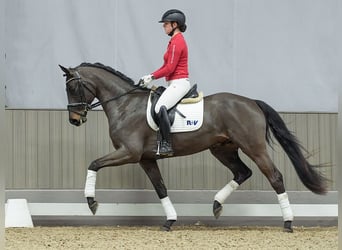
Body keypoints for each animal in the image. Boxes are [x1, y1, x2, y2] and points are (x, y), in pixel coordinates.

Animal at [58, 62, 326, 232]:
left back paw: (288, 223)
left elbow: (94, 163)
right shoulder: (146, 158)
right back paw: (216, 205)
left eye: (72, 87)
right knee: (243, 172)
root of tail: (252, 102)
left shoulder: (129, 153)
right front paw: (170, 221)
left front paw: (91, 202)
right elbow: (160, 188)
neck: (125, 105)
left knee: (275, 177)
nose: (74, 120)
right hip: (222, 149)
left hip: (254, 147)